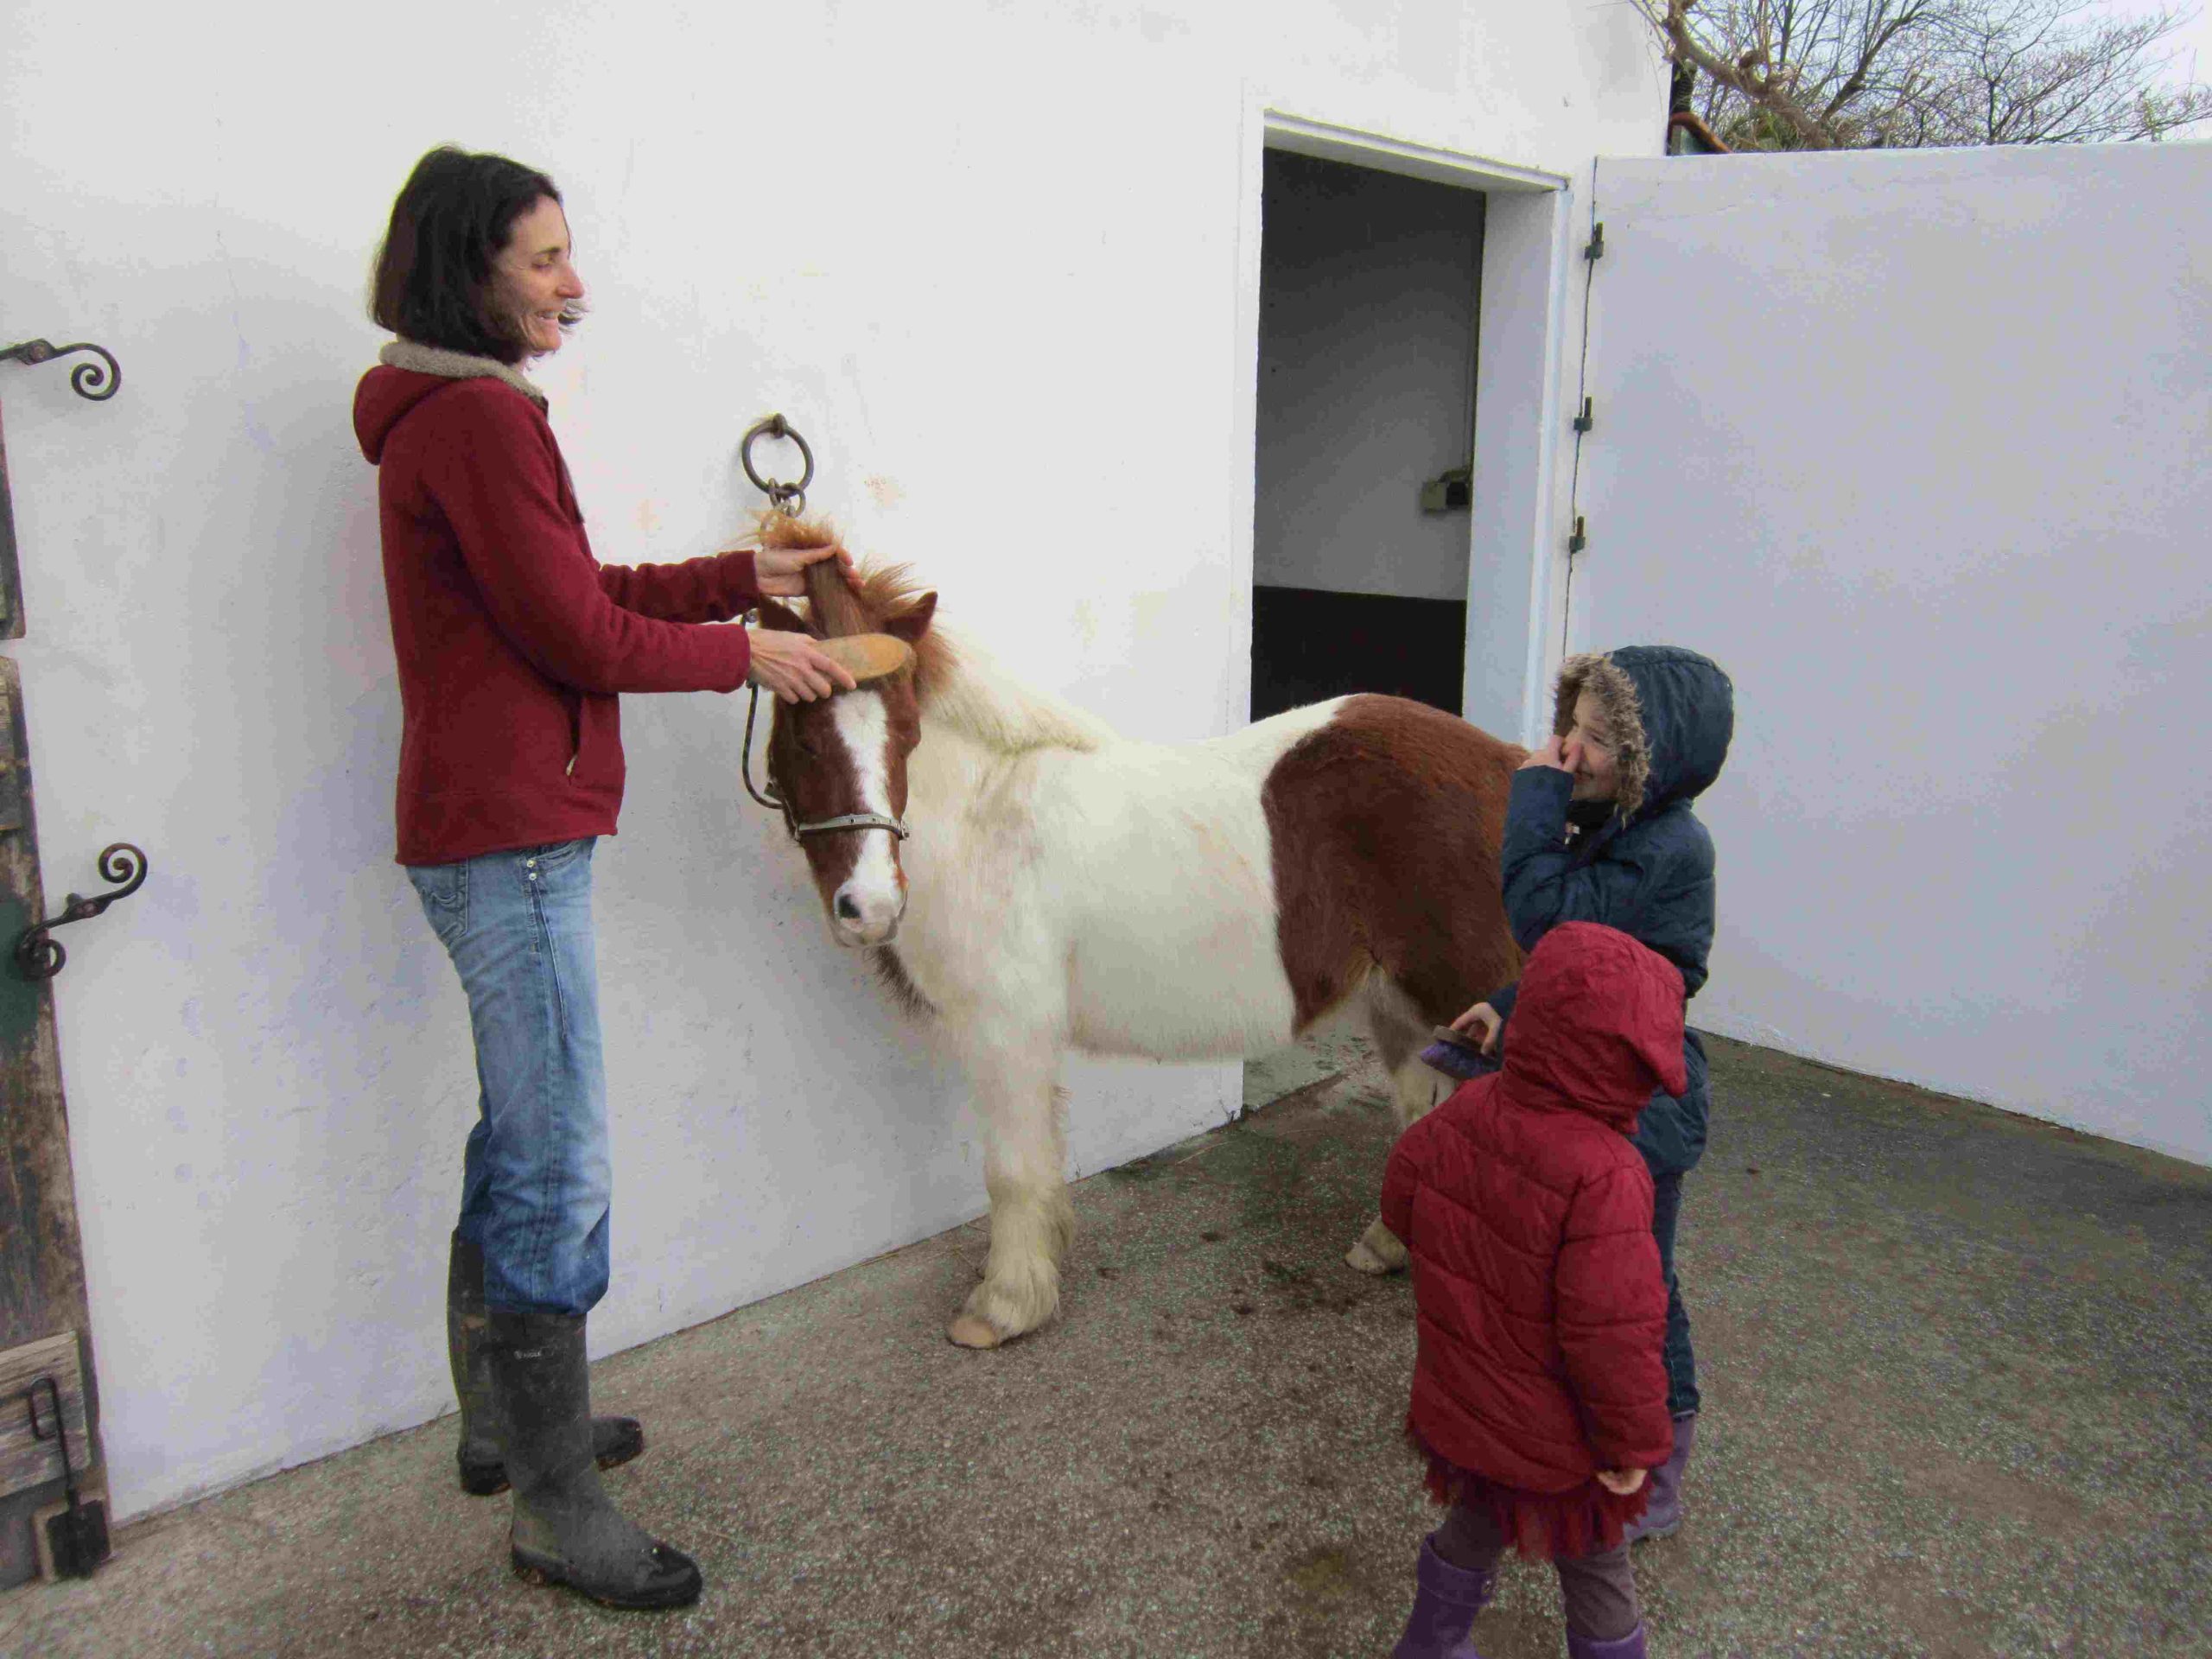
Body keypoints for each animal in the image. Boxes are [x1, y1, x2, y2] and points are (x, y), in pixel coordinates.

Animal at [751, 532, 1525, 1348]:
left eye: (905, 731)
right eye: (804, 737)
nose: (867, 906)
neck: (985, 820)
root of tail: (1509, 764)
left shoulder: (1003, 1032)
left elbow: (1010, 1171)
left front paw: (1004, 1306)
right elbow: (1039, 1159)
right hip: (1403, 1006)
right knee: (1419, 1114)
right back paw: (1385, 1246)